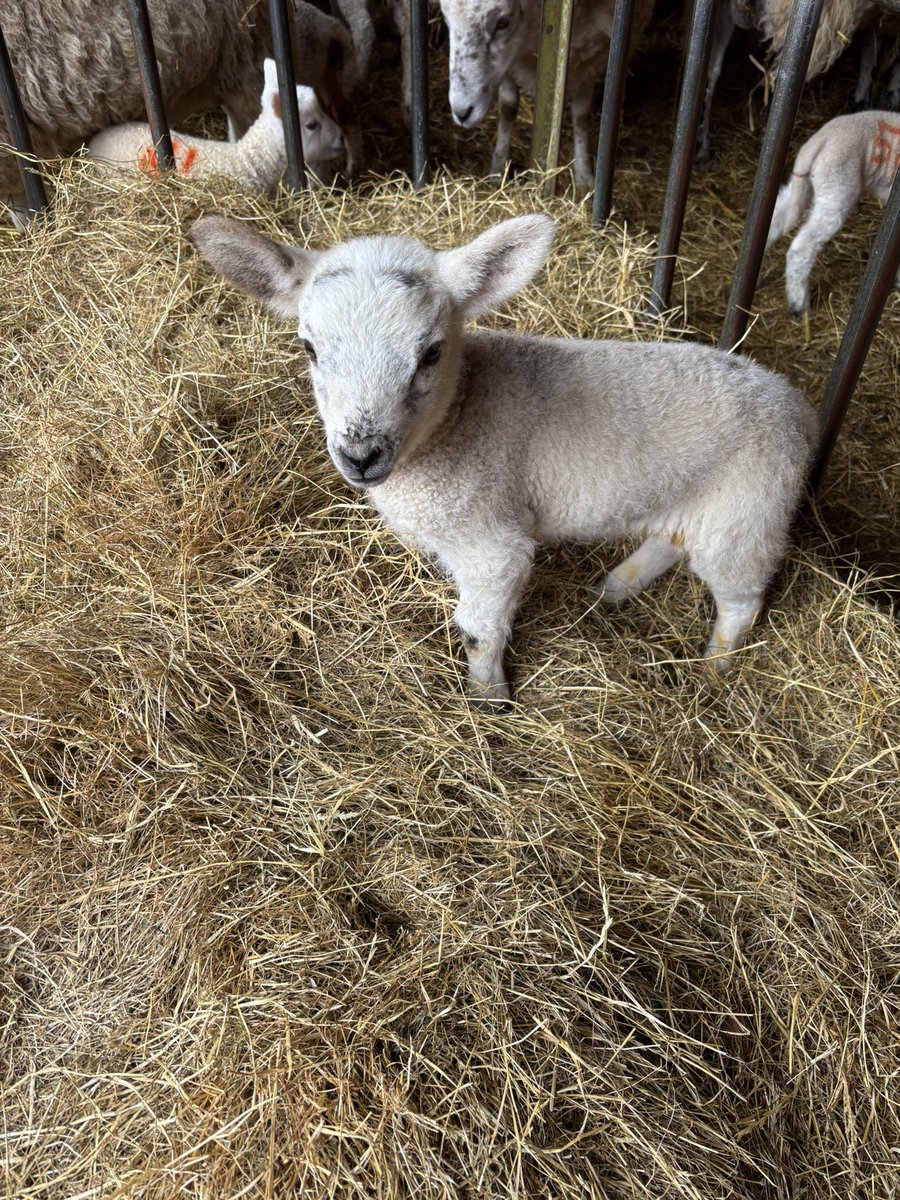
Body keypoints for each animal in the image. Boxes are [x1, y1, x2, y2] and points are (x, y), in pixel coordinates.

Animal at [190, 213, 816, 708]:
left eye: (431, 353)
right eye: (309, 348)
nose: (361, 454)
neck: (459, 415)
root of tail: (795, 403)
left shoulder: (492, 544)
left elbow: (478, 629)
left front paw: (488, 699)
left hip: (750, 508)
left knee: (741, 598)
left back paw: (715, 666)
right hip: (698, 499)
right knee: (671, 539)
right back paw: (615, 588)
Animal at [438, 0, 654, 187]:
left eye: (503, 22)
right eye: (446, 19)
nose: (462, 113)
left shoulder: (591, 58)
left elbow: (581, 116)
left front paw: (583, 176)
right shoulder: (510, 66)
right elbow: (507, 108)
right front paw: (498, 169)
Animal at [766, 109, 900, 316]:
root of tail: (818, 142)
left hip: (806, 184)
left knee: (776, 218)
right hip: (836, 189)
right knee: (802, 249)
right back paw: (800, 307)